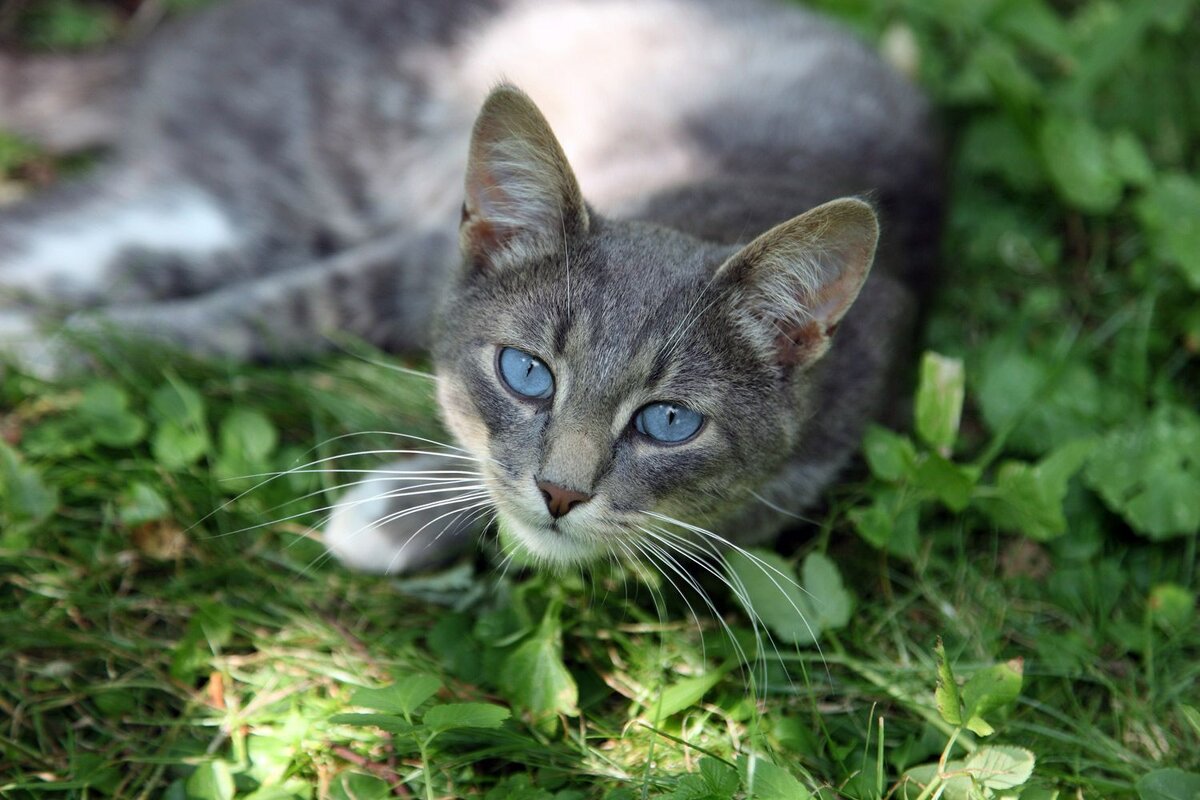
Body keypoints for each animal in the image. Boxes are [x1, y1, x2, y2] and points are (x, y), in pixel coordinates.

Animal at [0, 0, 936, 575]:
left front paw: (399, 515)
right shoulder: (411, 257)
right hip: (303, 170)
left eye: (669, 422)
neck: (700, 191)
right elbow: (283, 307)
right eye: (527, 373)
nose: (564, 492)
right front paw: (76, 343)